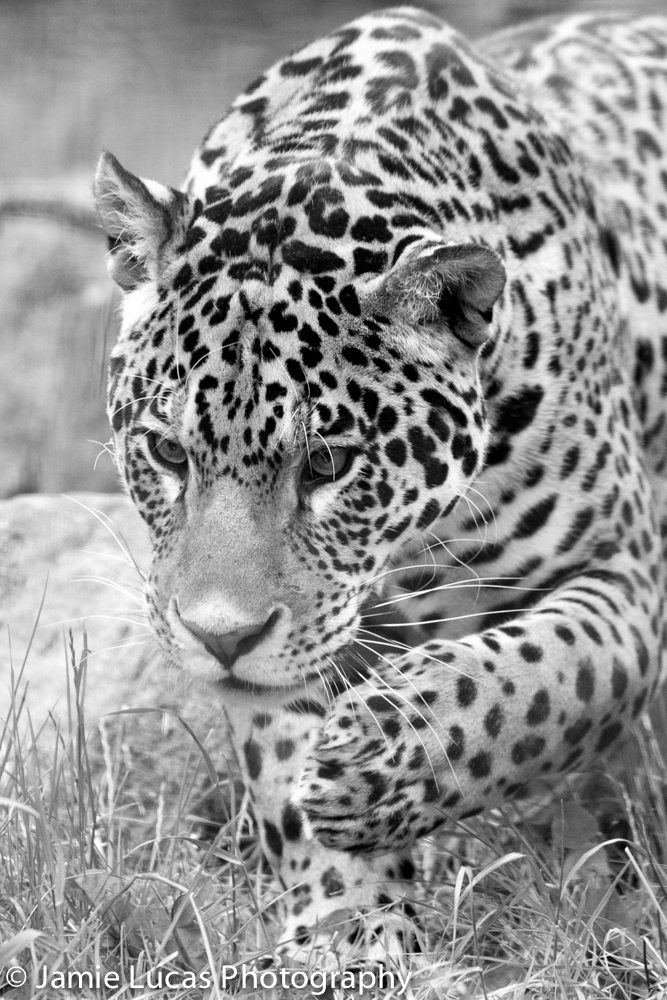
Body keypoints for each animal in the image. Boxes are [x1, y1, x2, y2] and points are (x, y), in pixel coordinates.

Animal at [94, 6, 667, 962]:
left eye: (327, 464)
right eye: (170, 455)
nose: (218, 639)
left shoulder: (622, 569)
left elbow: (545, 675)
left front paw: (376, 757)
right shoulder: (294, 646)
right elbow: (286, 766)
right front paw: (348, 930)